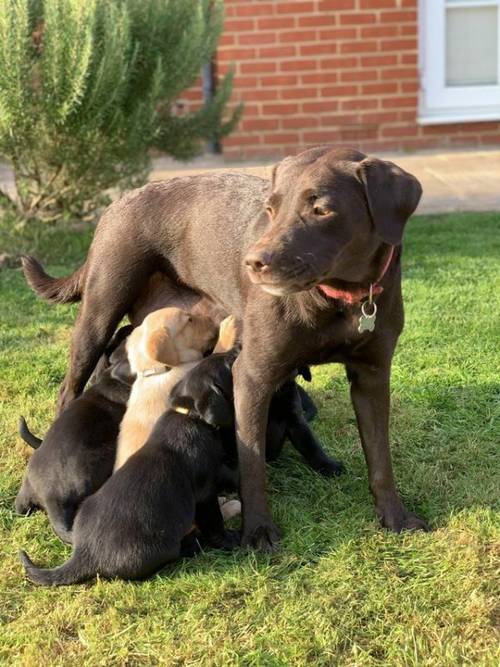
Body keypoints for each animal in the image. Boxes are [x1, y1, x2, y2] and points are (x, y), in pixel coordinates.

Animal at [23, 374, 240, 588]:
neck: (187, 414)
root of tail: (83, 554)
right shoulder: (206, 492)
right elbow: (214, 521)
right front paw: (230, 539)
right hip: (158, 549)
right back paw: (192, 543)